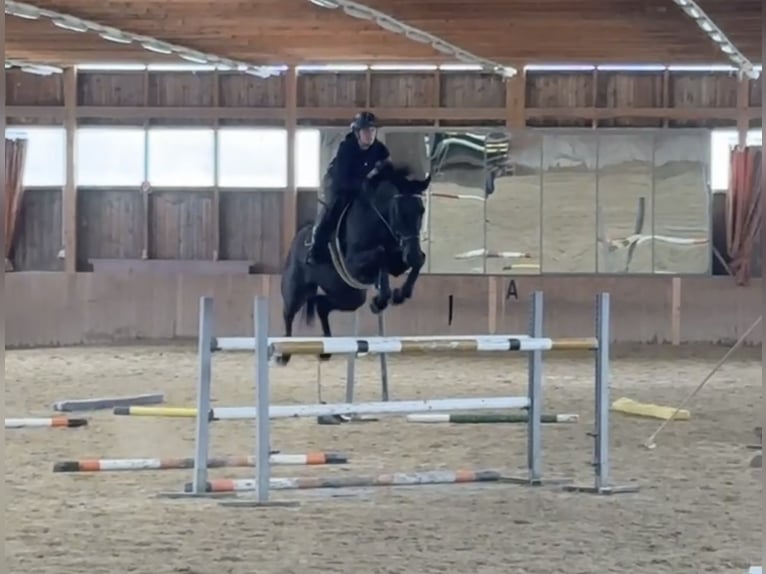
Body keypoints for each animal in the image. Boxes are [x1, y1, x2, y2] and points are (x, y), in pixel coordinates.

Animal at [280, 164, 428, 366]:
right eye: (397, 210)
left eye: (421, 210)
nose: (411, 254)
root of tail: (297, 238)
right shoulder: (353, 264)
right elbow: (380, 255)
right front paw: (380, 300)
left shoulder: (398, 262)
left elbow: (419, 261)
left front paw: (398, 295)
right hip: (297, 289)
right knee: (288, 313)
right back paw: (284, 354)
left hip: (351, 297)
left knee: (322, 305)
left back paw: (325, 350)